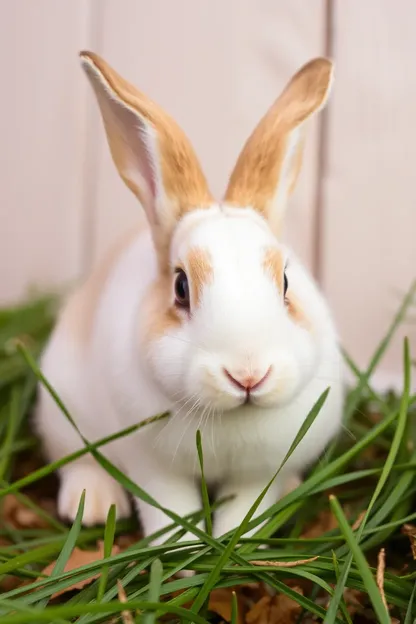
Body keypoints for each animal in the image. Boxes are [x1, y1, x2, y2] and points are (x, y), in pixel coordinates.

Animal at [34, 51, 342, 544]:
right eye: (180, 287)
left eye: (286, 282)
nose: (248, 375)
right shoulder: (153, 468)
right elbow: (169, 509)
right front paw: (181, 553)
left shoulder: (257, 474)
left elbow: (246, 510)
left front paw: (244, 543)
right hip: (62, 414)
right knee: (78, 462)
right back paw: (94, 505)